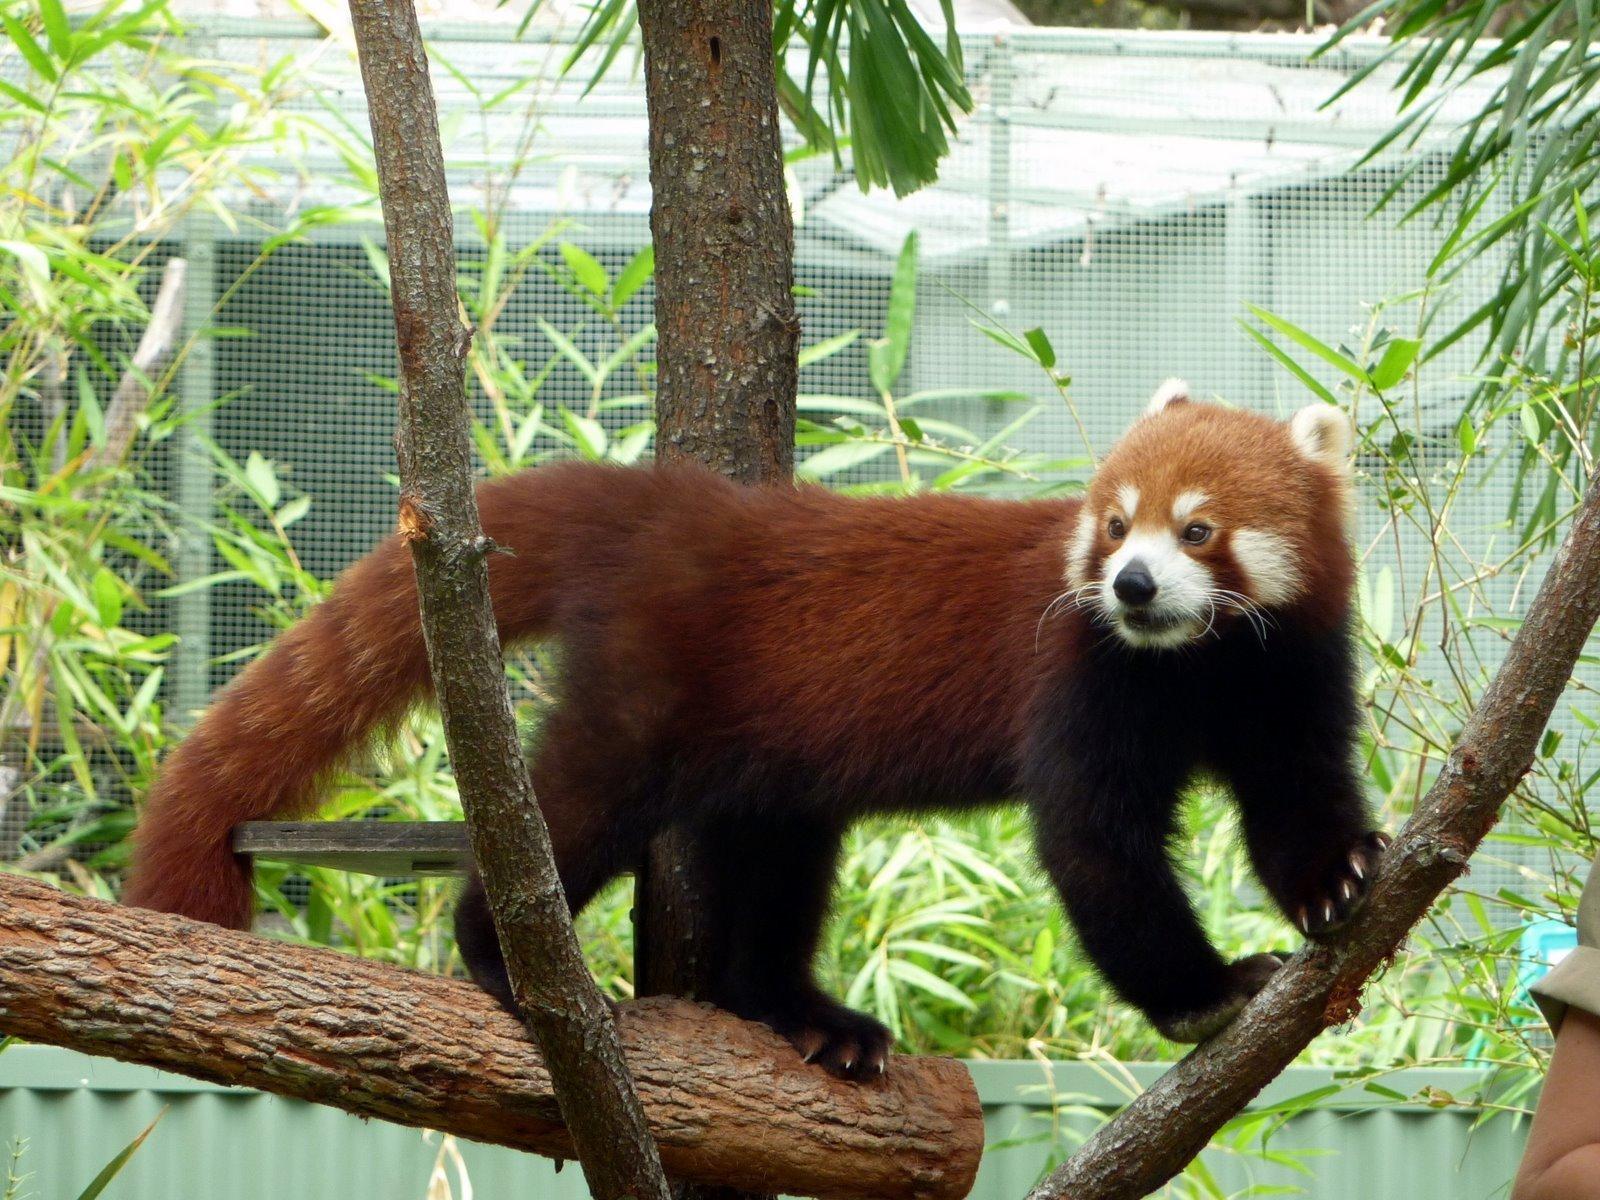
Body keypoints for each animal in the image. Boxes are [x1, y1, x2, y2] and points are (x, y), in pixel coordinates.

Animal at [121, 382, 1388, 1081]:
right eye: (1115, 523)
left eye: (1198, 530)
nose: (1128, 585)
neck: (1193, 669)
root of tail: (666, 506)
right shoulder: (1078, 681)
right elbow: (1095, 847)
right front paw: (1205, 989)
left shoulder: (1289, 674)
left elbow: (1295, 795)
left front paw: (1336, 880)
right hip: (648, 691)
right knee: (572, 811)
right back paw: (501, 954)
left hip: (771, 761)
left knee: (773, 878)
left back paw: (802, 1017)